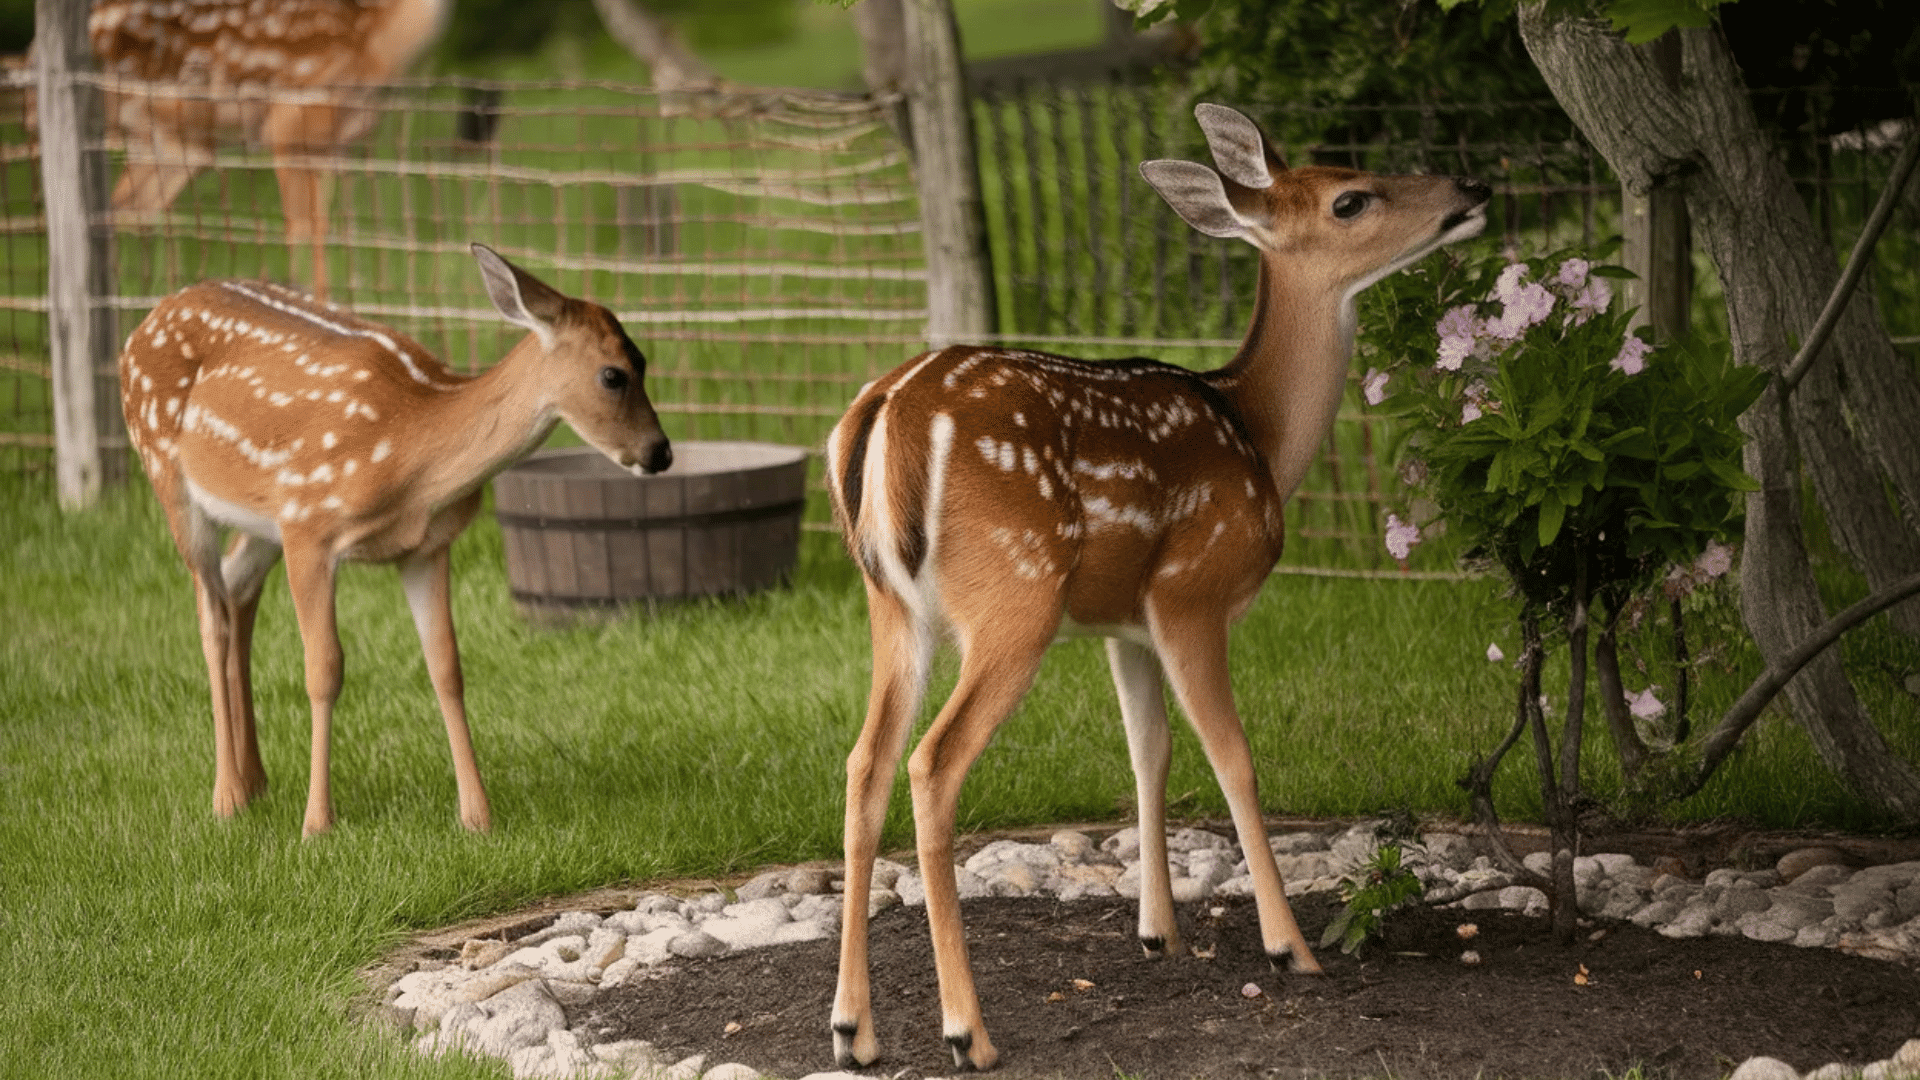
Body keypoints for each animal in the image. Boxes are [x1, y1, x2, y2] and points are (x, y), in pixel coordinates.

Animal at [86, 0, 452, 298]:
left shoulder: (334, 142)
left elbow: (322, 234)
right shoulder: (292, 120)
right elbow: (304, 236)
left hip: (179, 144)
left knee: (121, 213)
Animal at [119, 243, 672, 837]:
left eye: (645, 361)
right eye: (613, 374)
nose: (661, 452)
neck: (410, 451)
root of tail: (145, 322)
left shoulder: (425, 547)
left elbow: (447, 667)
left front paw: (477, 817)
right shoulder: (309, 525)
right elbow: (324, 670)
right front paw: (317, 824)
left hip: (260, 518)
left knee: (237, 590)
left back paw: (256, 781)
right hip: (168, 475)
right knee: (212, 615)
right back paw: (227, 797)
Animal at [823, 104, 1491, 1072]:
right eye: (1351, 198)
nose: (1471, 189)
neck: (1260, 433)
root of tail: (885, 416)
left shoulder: (1121, 625)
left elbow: (1151, 750)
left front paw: (1158, 932)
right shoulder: (1190, 592)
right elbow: (1233, 756)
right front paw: (1291, 947)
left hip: (893, 607)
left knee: (866, 761)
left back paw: (854, 1030)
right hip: (1015, 594)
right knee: (930, 763)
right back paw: (967, 1032)